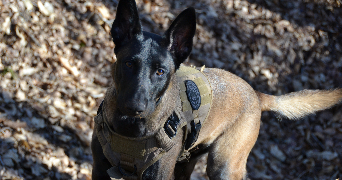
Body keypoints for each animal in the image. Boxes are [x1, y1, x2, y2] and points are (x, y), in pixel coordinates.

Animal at [91, 0, 342, 180]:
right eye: (129, 64)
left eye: (160, 71)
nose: (135, 106)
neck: (130, 130)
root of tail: (255, 94)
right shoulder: (100, 171)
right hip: (187, 163)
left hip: (224, 166)